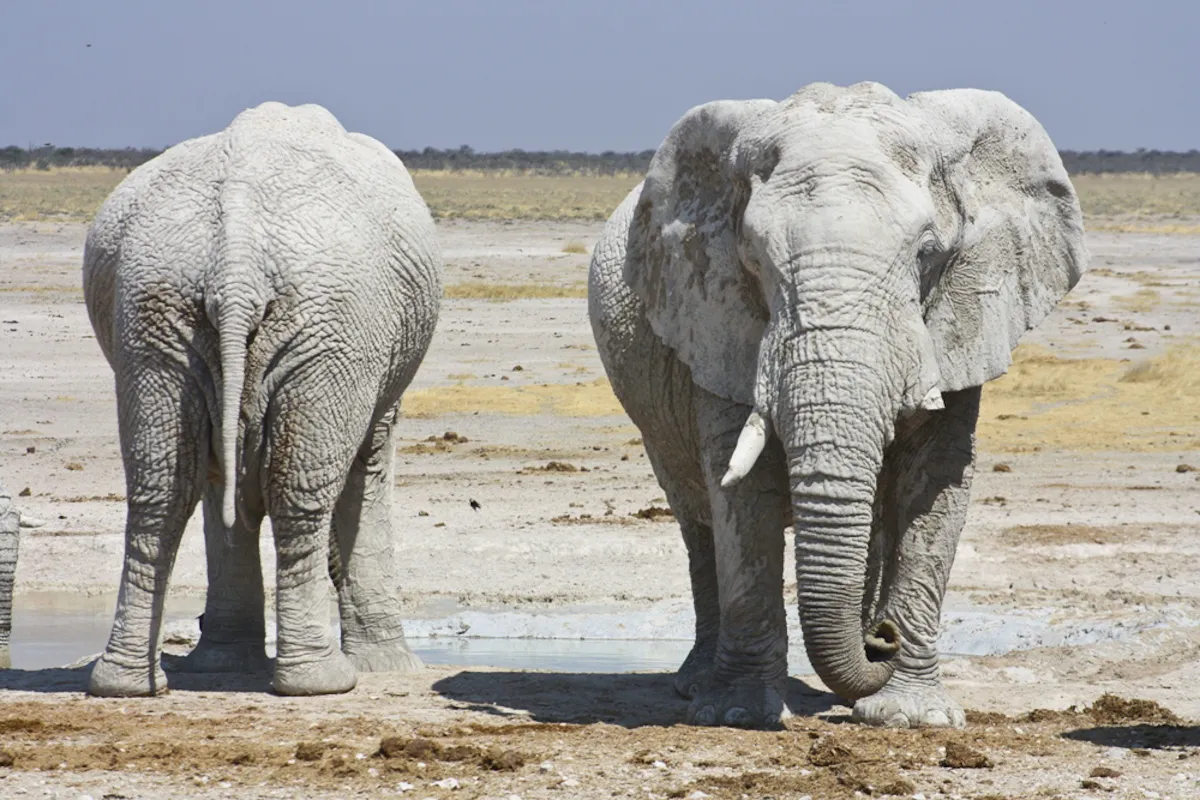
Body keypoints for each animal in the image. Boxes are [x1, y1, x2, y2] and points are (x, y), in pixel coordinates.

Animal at [81, 102, 442, 697]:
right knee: (298, 491)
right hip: (332, 319)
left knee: (161, 490)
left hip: (157, 313)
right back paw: (321, 682)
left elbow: (219, 480)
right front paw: (389, 668)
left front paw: (223, 662)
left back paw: (127, 685)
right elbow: (367, 466)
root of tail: (236, 260)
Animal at [589, 82, 1087, 729]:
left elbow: (936, 483)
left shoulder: (965, 315)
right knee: (696, 518)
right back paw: (697, 686)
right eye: (753, 260)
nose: (882, 640)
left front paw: (912, 717)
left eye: (927, 254)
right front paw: (740, 715)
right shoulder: (716, 318)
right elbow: (740, 495)